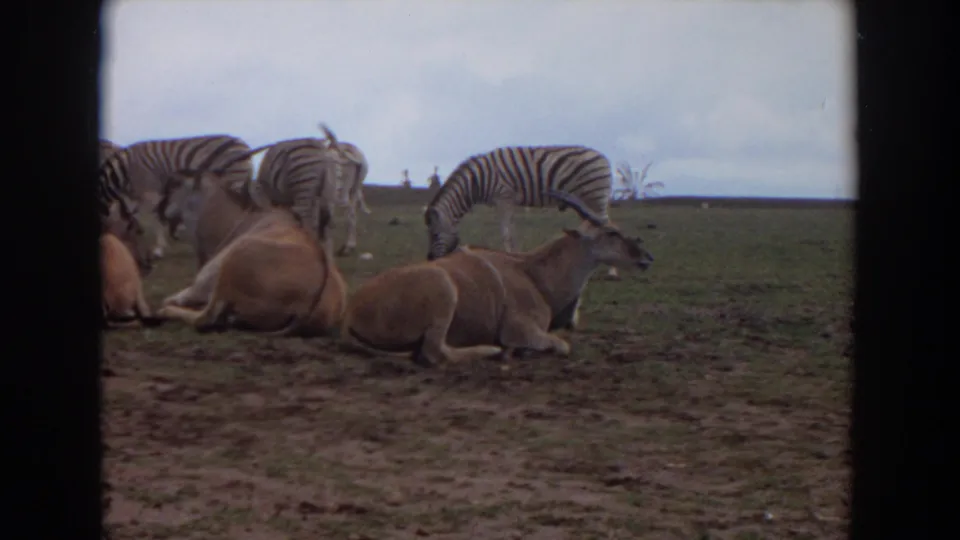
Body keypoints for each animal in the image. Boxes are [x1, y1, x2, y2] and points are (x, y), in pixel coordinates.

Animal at [98, 134, 259, 259]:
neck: (123, 172)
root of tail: (243, 144)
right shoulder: (136, 194)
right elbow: (133, 214)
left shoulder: (150, 191)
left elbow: (156, 217)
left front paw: (159, 249)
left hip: (234, 178)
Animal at [423, 145, 623, 280]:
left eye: (434, 234)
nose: (430, 259)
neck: (477, 181)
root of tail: (603, 157)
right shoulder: (509, 202)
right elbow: (512, 232)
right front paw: (516, 257)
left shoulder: (504, 198)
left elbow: (506, 233)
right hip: (586, 200)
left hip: (594, 196)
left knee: (608, 226)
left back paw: (613, 270)